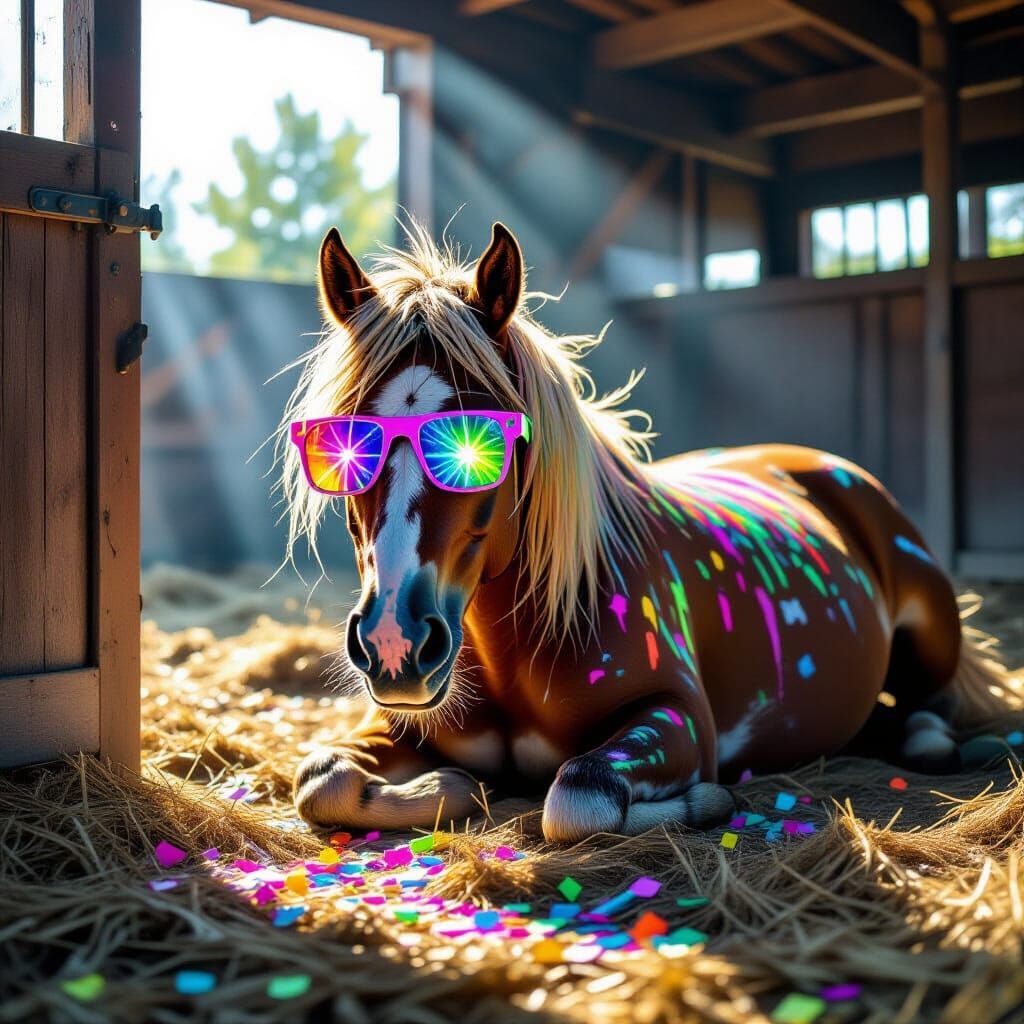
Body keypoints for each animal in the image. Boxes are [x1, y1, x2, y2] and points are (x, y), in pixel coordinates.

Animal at [281, 221, 1005, 843]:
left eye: (478, 444)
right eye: (342, 442)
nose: (394, 642)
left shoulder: (678, 716)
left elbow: (580, 794)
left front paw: (706, 801)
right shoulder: (393, 719)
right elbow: (323, 779)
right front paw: (457, 786)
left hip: (933, 632)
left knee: (929, 702)